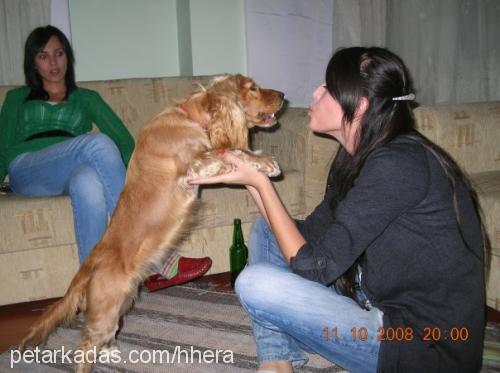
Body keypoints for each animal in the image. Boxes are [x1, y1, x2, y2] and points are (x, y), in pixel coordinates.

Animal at [19, 74, 284, 370]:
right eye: (253, 88)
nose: (284, 95)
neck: (191, 118)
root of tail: (92, 260)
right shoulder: (195, 166)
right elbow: (229, 153)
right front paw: (267, 162)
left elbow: (234, 152)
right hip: (104, 311)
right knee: (83, 348)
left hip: (121, 302)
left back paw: (110, 351)